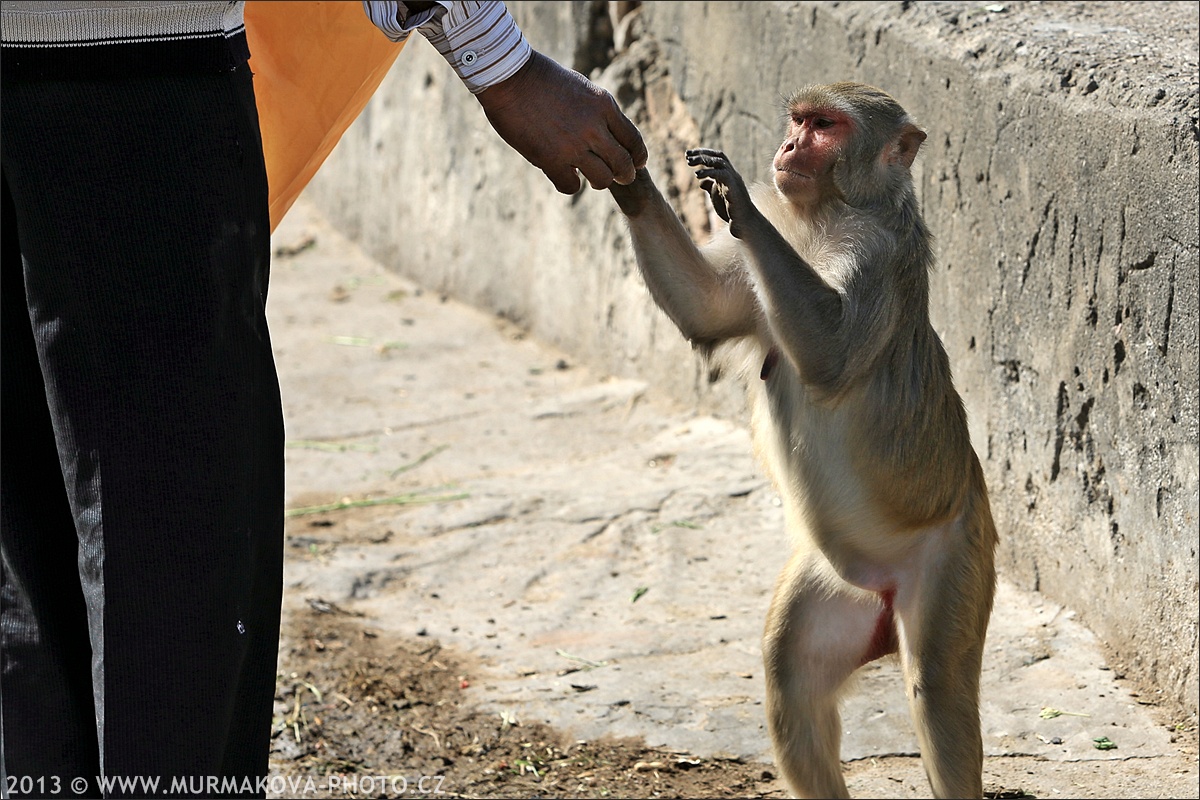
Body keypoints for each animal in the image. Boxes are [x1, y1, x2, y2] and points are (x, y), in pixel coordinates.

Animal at [614, 82, 998, 800]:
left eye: (824, 126)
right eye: (798, 121)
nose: (790, 145)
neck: (827, 215)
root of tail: (883, 588)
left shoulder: (877, 255)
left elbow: (829, 355)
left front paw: (736, 196)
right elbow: (707, 308)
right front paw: (618, 160)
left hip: (956, 559)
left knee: (937, 689)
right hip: (835, 584)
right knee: (791, 675)